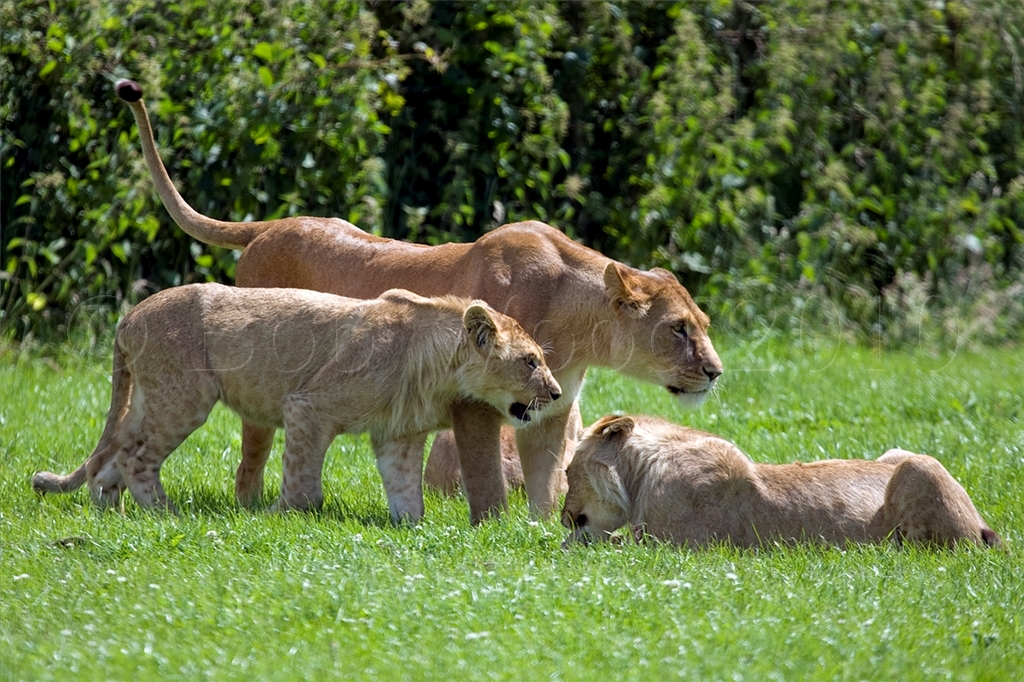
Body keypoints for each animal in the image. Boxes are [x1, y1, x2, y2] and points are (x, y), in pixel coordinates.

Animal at [31, 284, 561, 521]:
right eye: (531, 361)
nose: (556, 393)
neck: (439, 365)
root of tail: (129, 315)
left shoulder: (398, 435)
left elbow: (406, 489)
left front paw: (410, 528)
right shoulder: (308, 406)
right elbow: (304, 479)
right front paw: (282, 517)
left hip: (148, 397)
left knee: (112, 454)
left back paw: (112, 511)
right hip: (184, 397)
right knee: (136, 455)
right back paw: (165, 512)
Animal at [115, 79, 723, 523]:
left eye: (703, 323)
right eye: (678, 328)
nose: (716, 372)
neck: (579, 333)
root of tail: (269, 225)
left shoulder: (551, 411)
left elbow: (547, 482)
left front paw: (542, 527)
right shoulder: (477, 405)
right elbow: (486, 477)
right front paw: (495, 532)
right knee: (251, 453)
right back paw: (250, 508)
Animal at [561, 414, 1001, 549]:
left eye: (567, 473)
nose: (564, 517)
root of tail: (981, 523)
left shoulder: (670, 547)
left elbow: (609, 544)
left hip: (919, 468)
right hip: (898, 452)